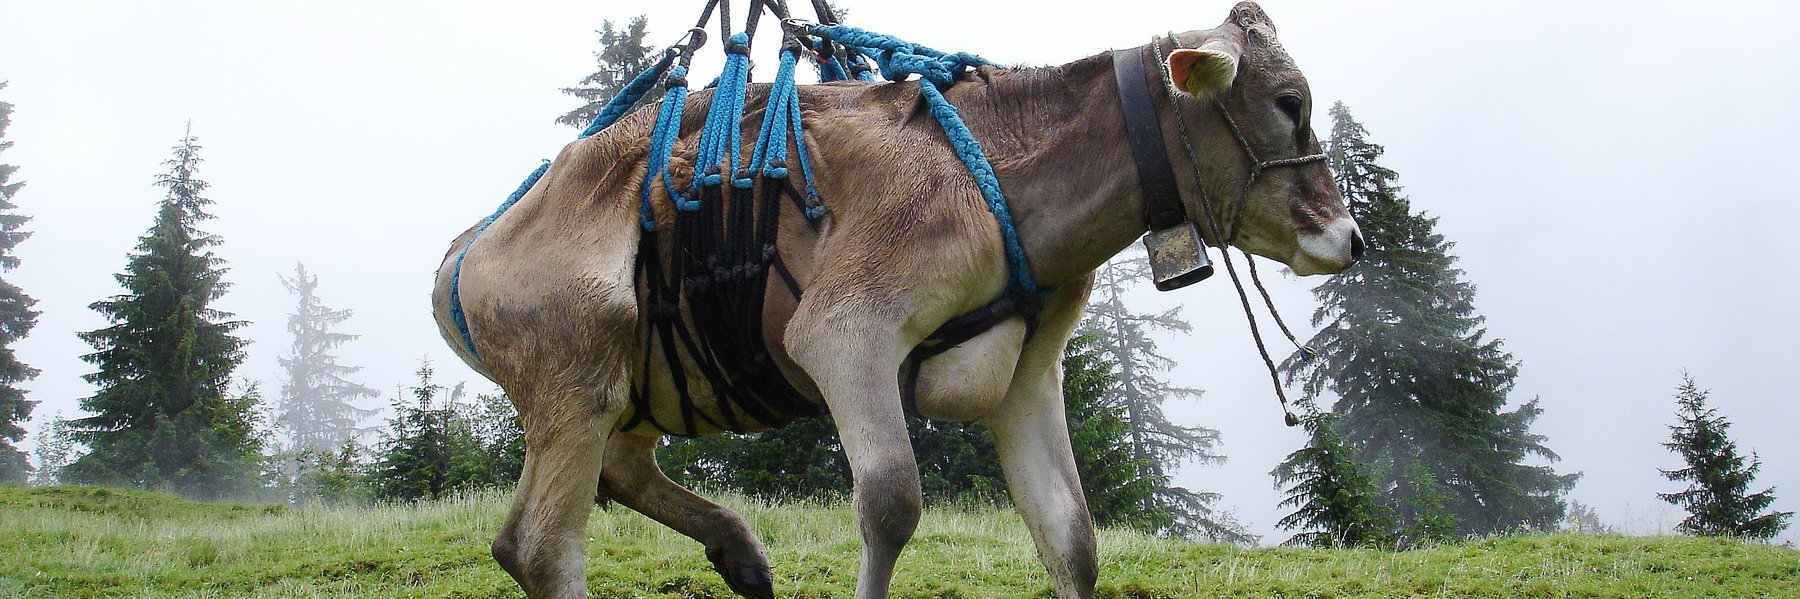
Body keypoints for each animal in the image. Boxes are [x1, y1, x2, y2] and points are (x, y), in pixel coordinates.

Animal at [432, 2, 1359, 598]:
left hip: (645, 380)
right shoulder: (846, 329)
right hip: (577, 366)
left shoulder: (1030, 374)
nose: (1350, 238)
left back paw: (742, 553)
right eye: (1289, 103)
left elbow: (1072, 537)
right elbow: (892, 503)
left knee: (604, 479)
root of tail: (471, 245)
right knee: (539, 547)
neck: (994, 170)